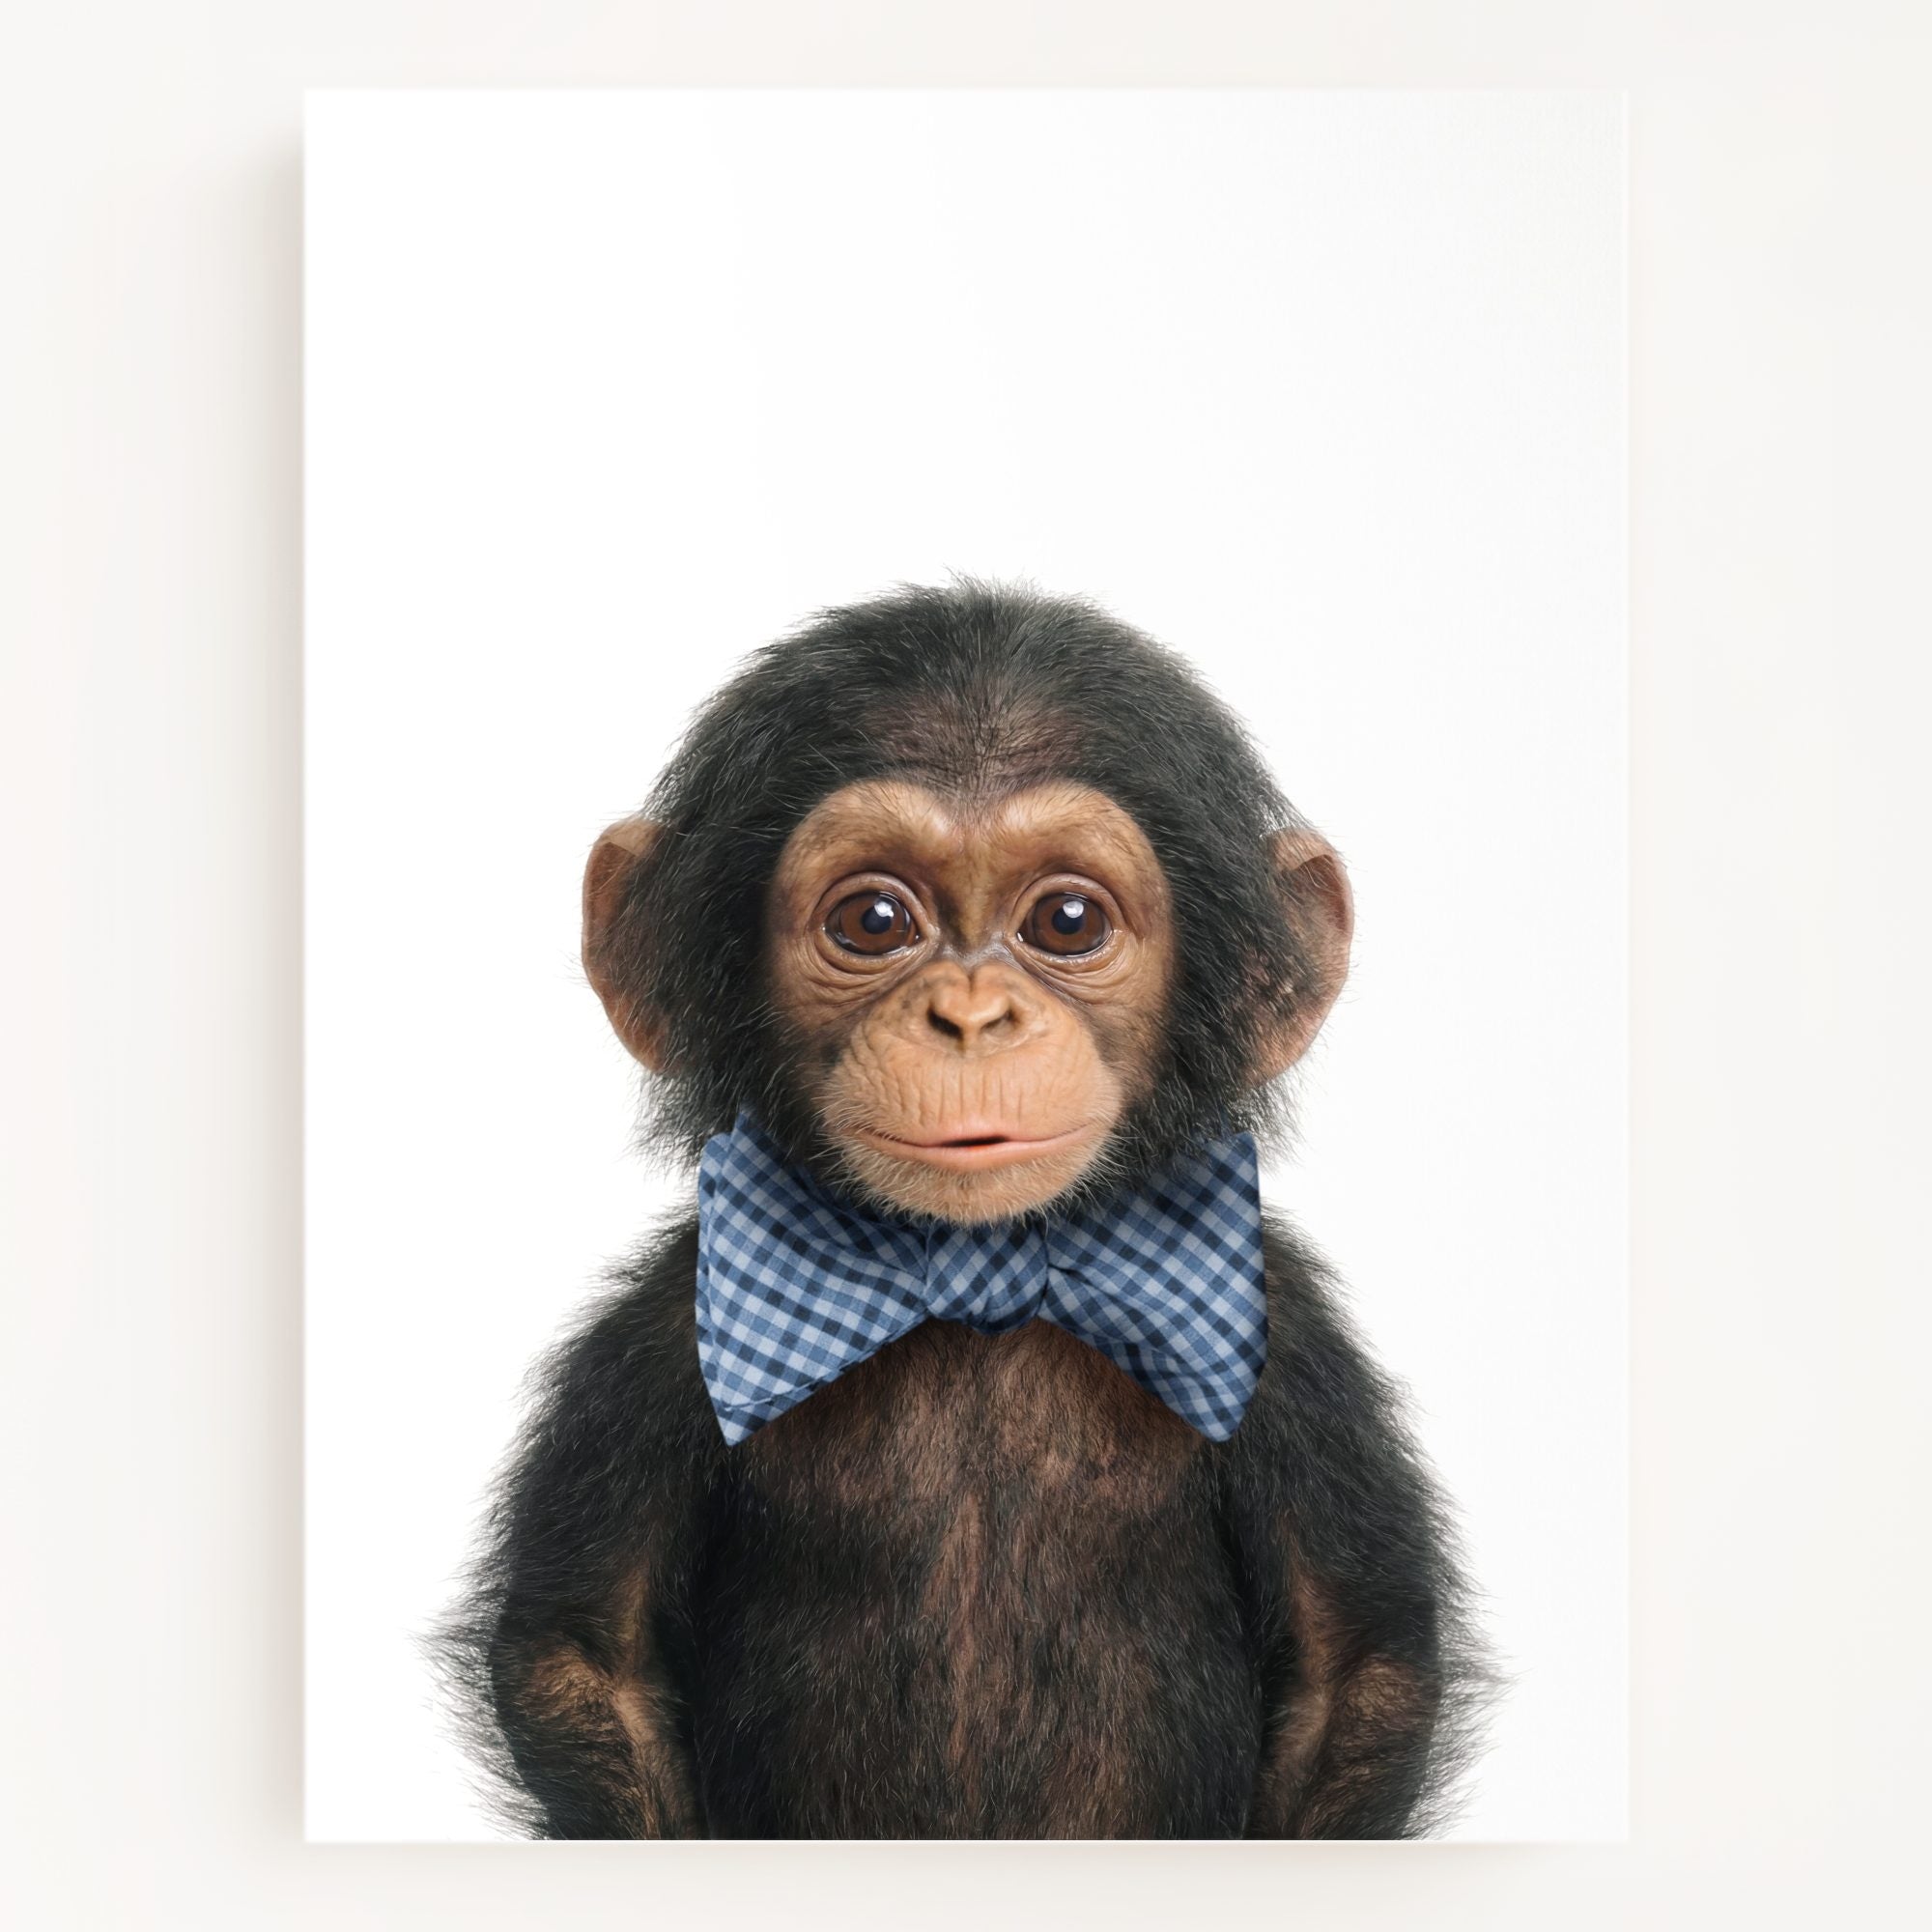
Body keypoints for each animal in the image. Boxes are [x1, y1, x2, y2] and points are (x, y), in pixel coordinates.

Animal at [436, 579, 1489, 1838]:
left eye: (1068, 920)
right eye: (874, 920)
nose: (972, 1015)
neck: (974, 1269)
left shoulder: (1287, 1346)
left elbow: (1353, 1668)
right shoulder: (653, 1339)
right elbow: (586, 1656)